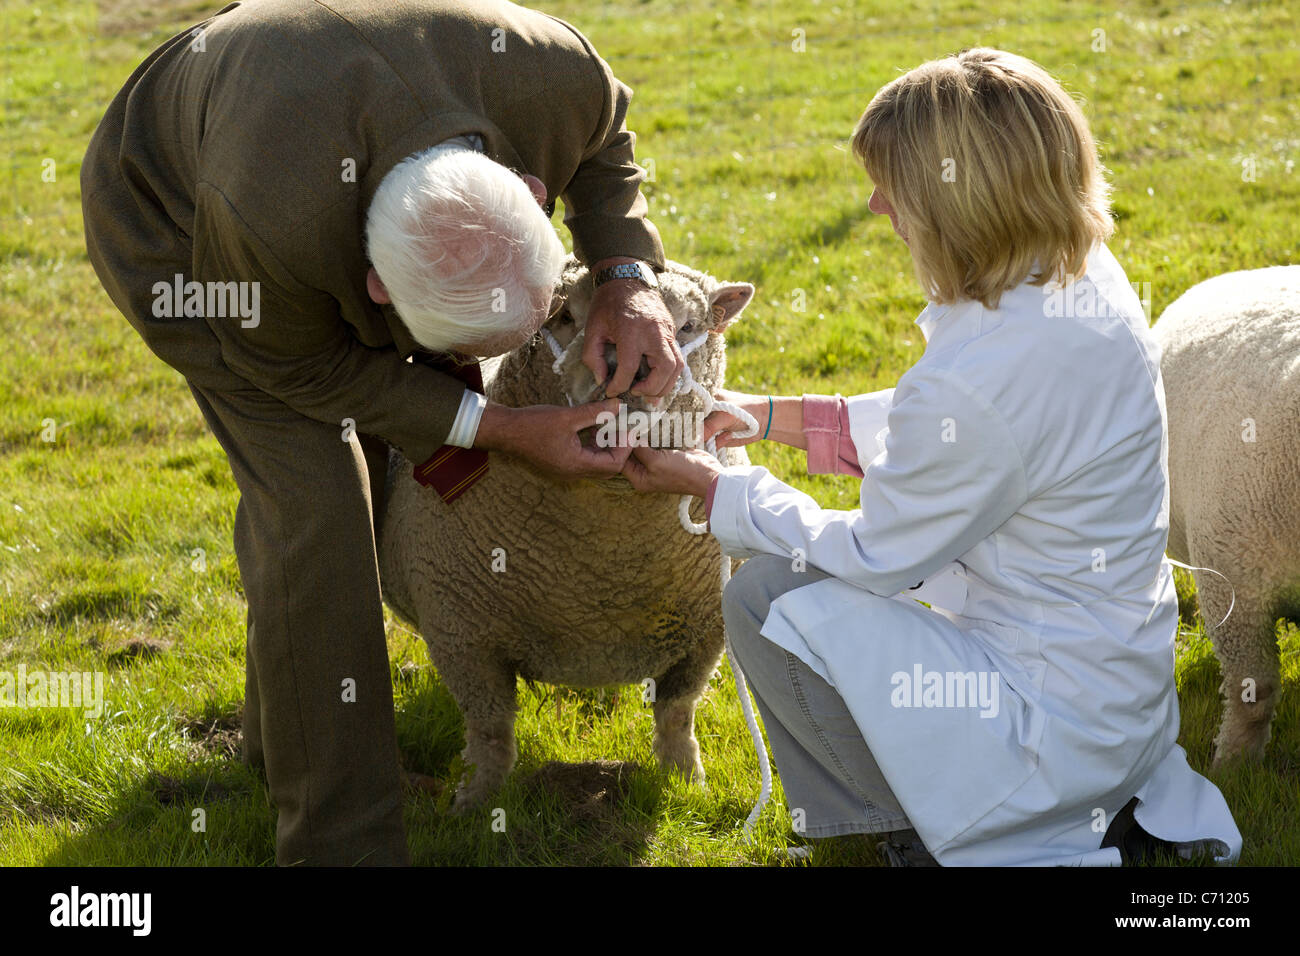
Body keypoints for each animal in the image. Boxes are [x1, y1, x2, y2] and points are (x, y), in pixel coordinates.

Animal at [377, 256, 754, 806]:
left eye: (688, 327)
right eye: (564, 317)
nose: (628, 366)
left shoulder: (706, 634)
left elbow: (677, 713)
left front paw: (687, 780)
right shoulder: (461, 637)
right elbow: (490, 731)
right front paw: (475, 802)